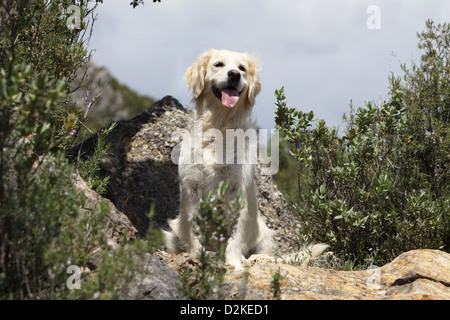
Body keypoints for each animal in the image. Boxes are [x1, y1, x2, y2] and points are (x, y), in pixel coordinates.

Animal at [163, 48, 272, 268]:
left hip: (264, 236)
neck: (219, 127)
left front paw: (233, 263)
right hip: (173, 233)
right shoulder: (192, 189)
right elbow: (197, 231)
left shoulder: (236, 191)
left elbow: (235, 235)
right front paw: (199, 255)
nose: (234, 75)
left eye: (242, 68)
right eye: (218, 64)